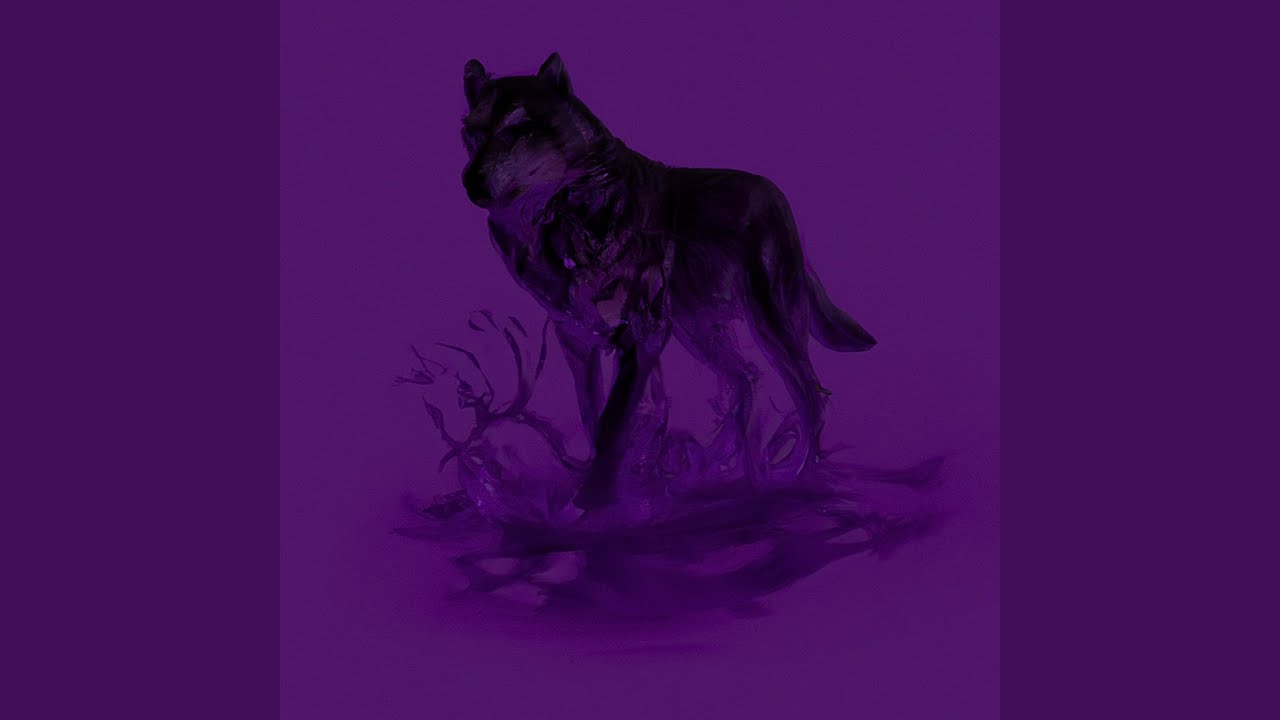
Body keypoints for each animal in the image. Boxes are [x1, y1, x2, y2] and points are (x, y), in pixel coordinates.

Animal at [460, 53, 877, 510]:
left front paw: (591, 505)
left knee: (810, 397)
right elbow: (595, 419)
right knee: (747, 380)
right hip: (698, 334)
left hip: (771, 328)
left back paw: (795, 481)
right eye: (471, 131)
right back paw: (745, 479)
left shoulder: (640, 335)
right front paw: (614, 490)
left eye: (517, 125)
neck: (565, 217)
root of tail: (774, 193)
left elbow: (614, 422)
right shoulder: (577, 340)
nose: (470, 183)